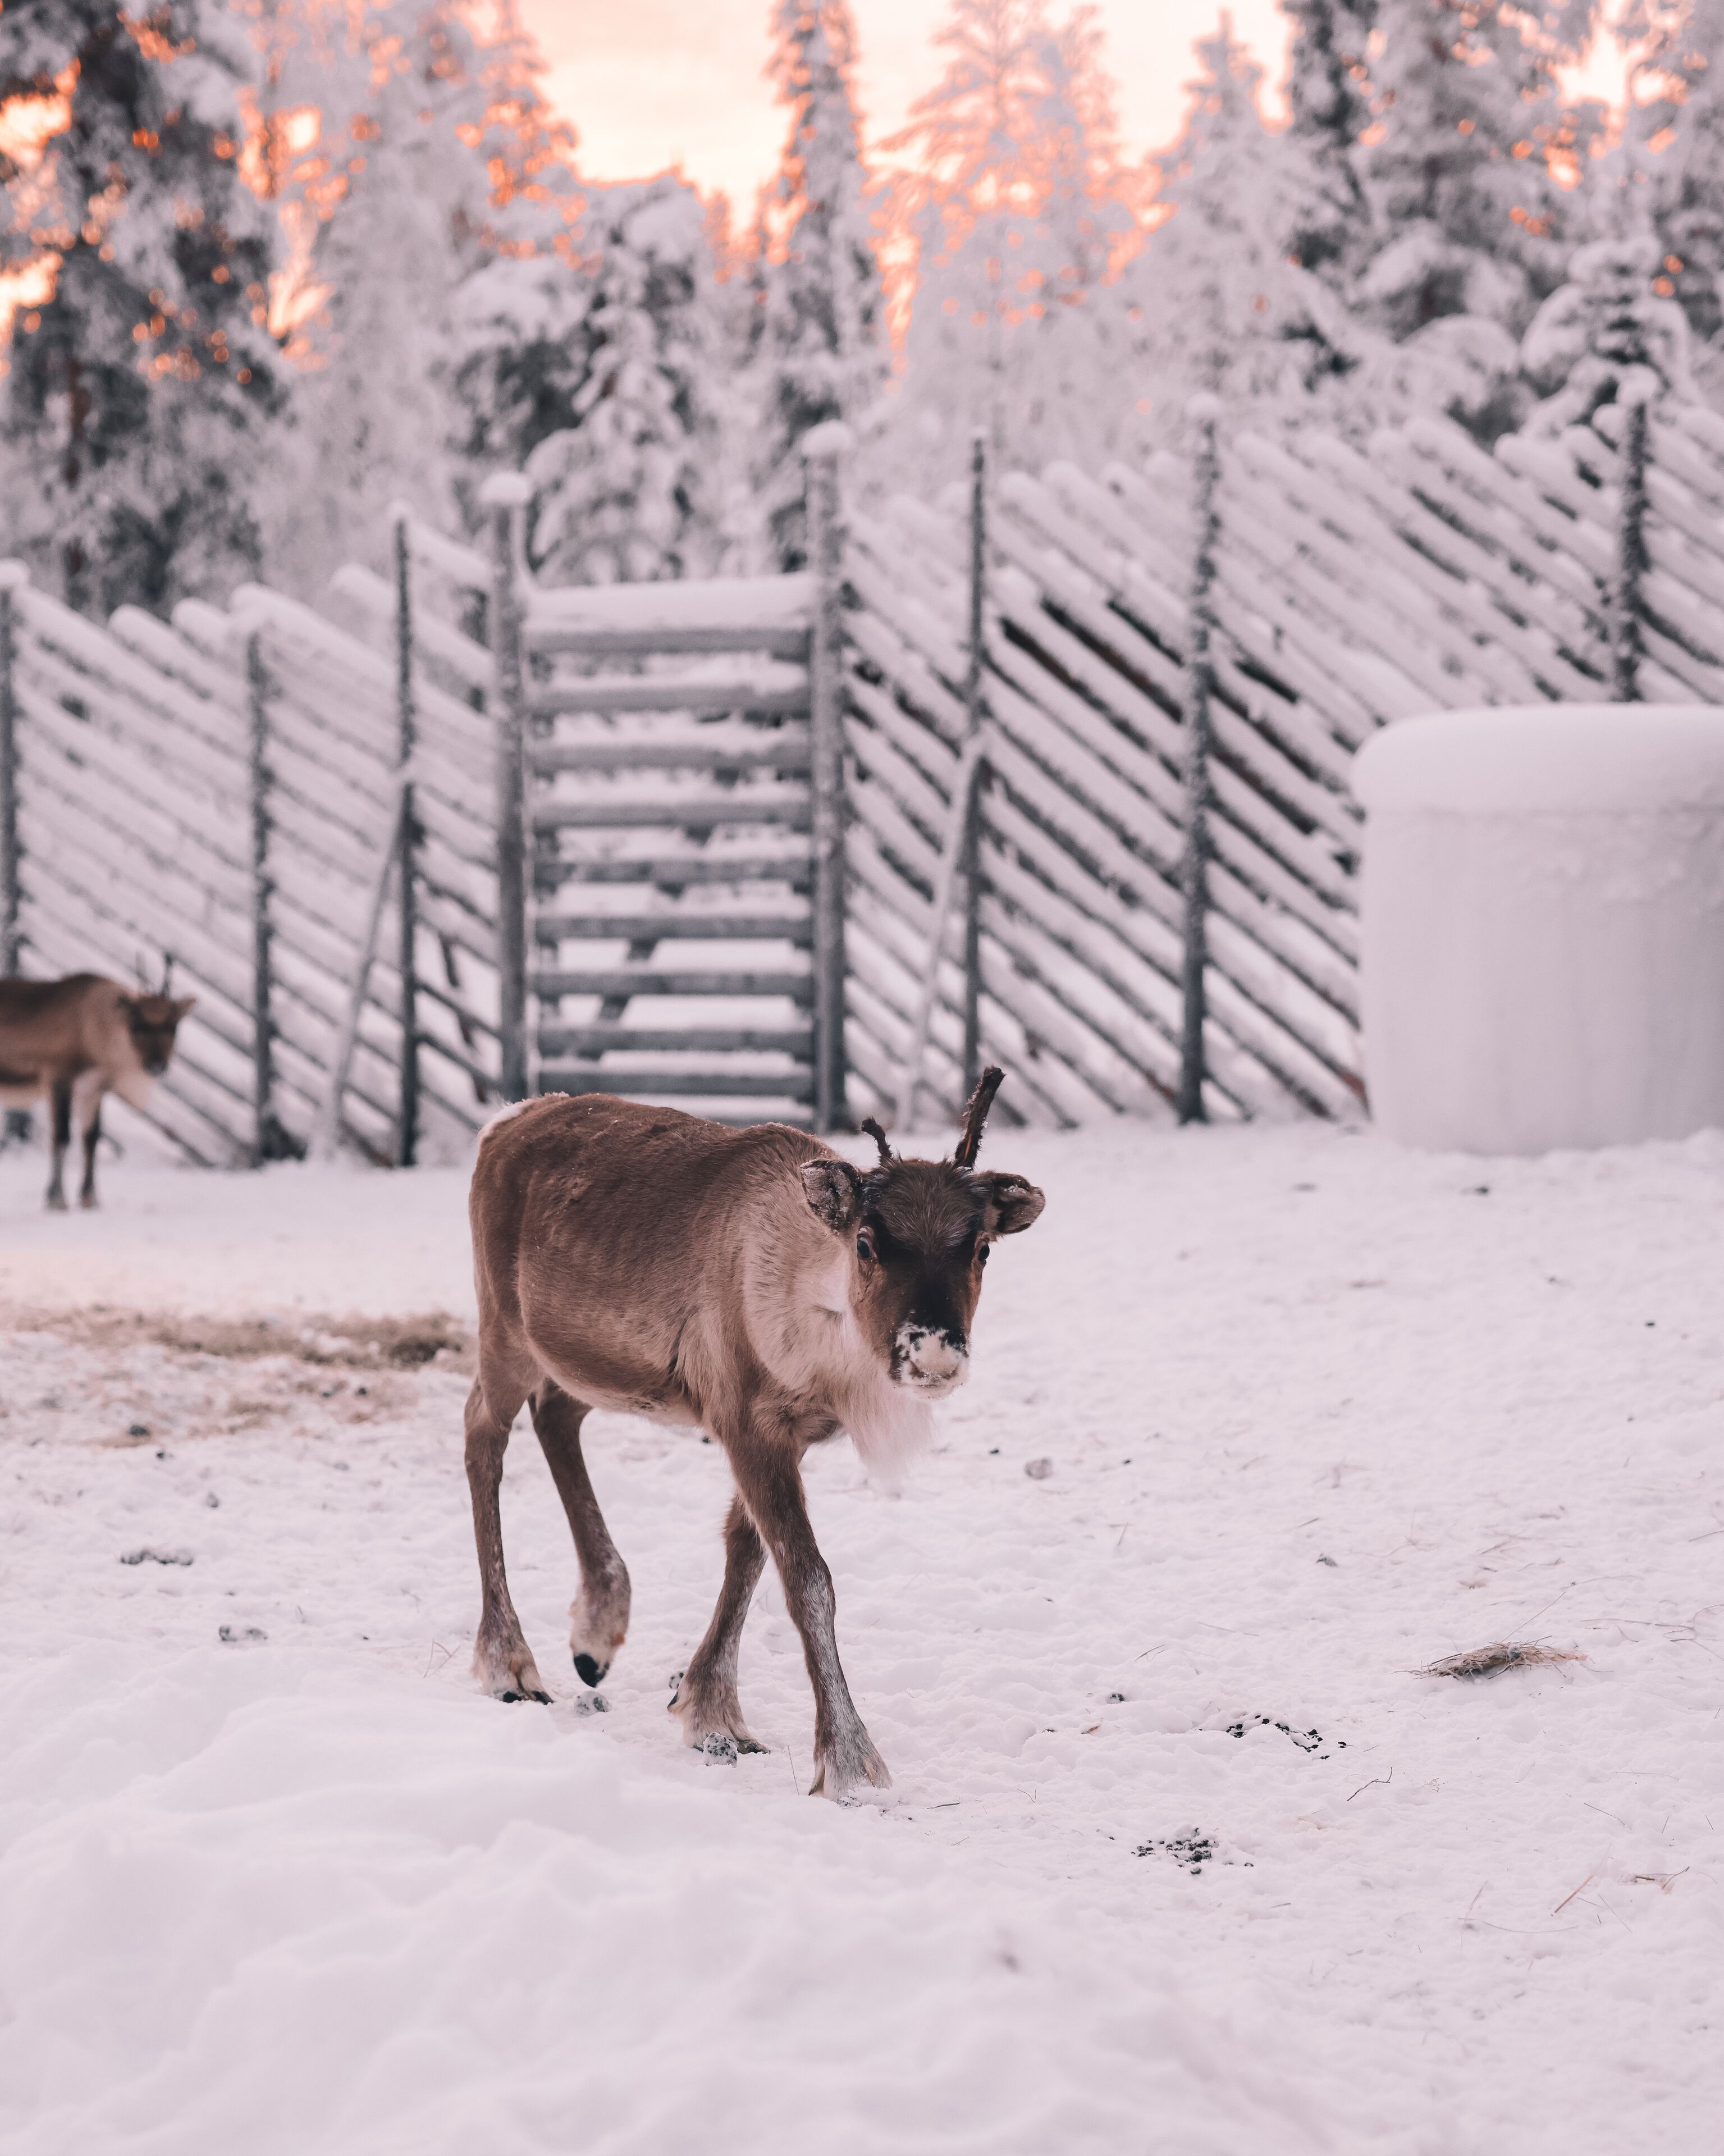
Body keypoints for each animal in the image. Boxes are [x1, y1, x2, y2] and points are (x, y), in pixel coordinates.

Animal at [0, 966, 196, 1210]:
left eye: (174, 1026)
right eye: (136, 1025)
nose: (157, 1065)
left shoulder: (93, 1088)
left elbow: (91, 1138)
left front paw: (90, 1198)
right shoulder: (58, 1076)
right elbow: (62, 1137)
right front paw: (57, 1199)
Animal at [464, 1066, 1045, 1800]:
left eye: (981, 1249)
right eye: (865, 1243)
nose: (933, 1355)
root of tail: (505, 1122)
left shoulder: (786, 1435)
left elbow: (745, 1550)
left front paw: (710, 1713)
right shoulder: (744, 1422)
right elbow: (807, 1578)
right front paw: (848, 1763)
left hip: (581, 1363)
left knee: (554, 1415)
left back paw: (598, 1628)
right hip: (503, 1331)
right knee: (482, 1437)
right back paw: (508, 1665)